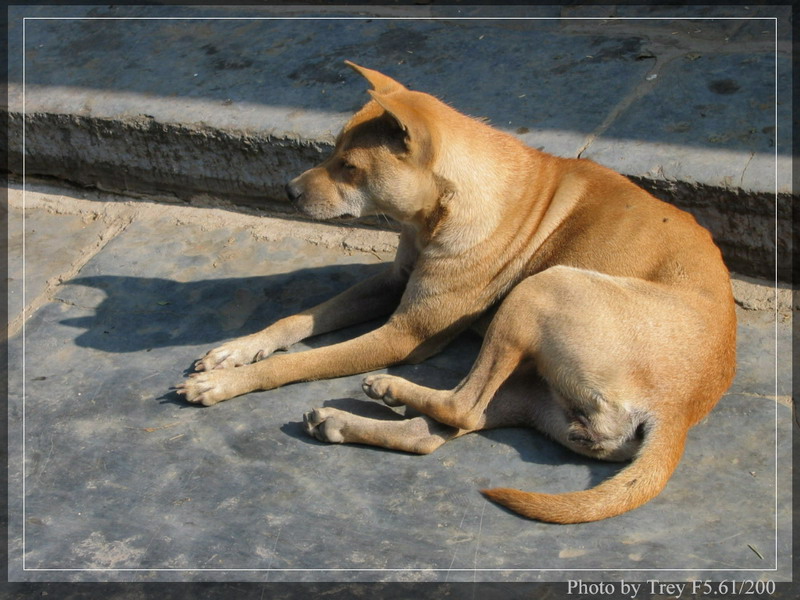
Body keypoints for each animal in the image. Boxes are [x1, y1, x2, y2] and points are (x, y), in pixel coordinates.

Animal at [176, 61, 737, 523]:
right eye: (332, 153)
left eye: (350, 167)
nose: (288, 192)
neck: (444, 208)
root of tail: (681, 411)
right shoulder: (391, 282)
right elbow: (295, 321)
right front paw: (235, 351)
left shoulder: (403, 335)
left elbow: (298, 362)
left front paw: (225, 383)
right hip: (531, 392)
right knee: (438, 432)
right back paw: (342, 422)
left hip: (539, 290)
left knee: (460, 405)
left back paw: (390, 389)